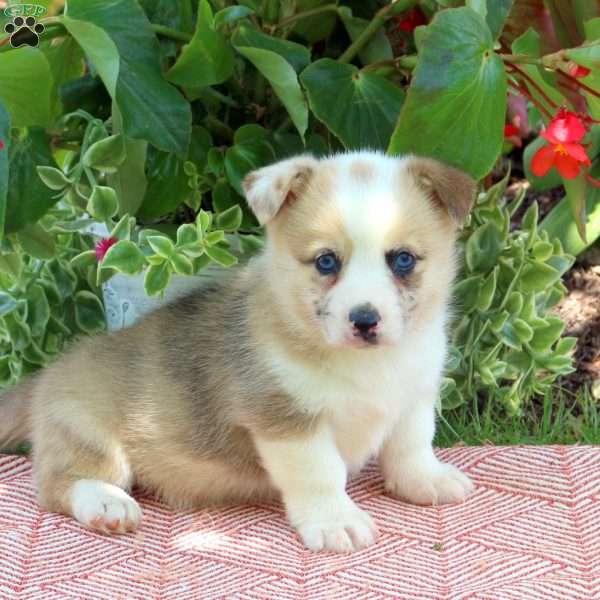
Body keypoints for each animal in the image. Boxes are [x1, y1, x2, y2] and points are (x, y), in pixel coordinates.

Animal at [1, 151, 478, 552]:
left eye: (403, 260)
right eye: (326, 261)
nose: (365, 320)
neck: (368, 364)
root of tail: (47, 376)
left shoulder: (414, 396)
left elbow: (412, 445)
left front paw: (425, 480)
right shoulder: (285, 419)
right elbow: (321, 474)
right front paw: (335, 521)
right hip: (90, 436)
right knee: (59, 484)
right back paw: (107, 505)